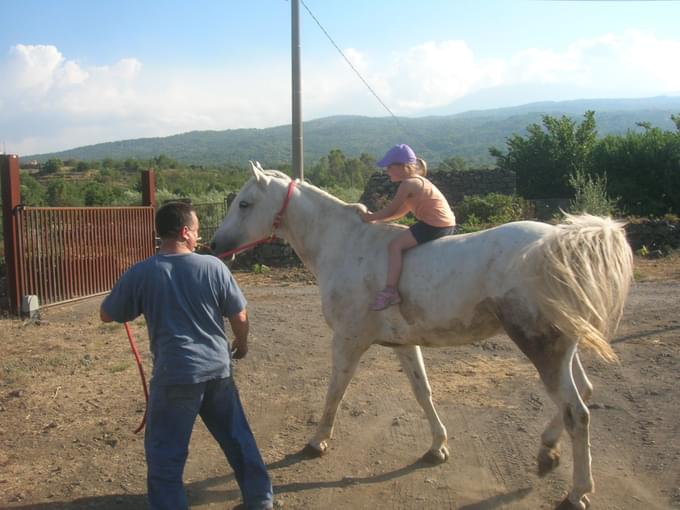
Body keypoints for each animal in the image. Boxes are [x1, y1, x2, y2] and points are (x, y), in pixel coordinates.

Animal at [211, 163, 632, 510]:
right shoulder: (404, 345)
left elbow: (335, 392)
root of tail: (559, 244)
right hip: (563, 350)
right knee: (583, 393)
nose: (215, 246)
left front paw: (317, 442)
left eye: (245, 203)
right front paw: (437, 447)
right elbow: (422, 392)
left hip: (543, 349)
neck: (347, 247)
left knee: (577, 412)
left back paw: (577, 492)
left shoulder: (348, 341)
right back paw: (547, 451)